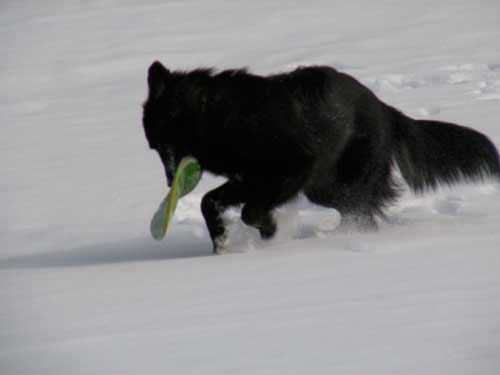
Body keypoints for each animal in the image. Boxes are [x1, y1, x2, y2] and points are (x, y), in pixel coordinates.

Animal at [142, 61, 500, 254]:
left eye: (164, 143)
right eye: (154, 148)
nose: (169, 181)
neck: (218, 117)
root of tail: (385, 109)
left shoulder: (293, 169)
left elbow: (250, 211)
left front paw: (271, 233)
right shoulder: (250, 179)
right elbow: (210, 202)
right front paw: (223, 243)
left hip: (341, 181)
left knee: (363, 213)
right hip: (325, 189)